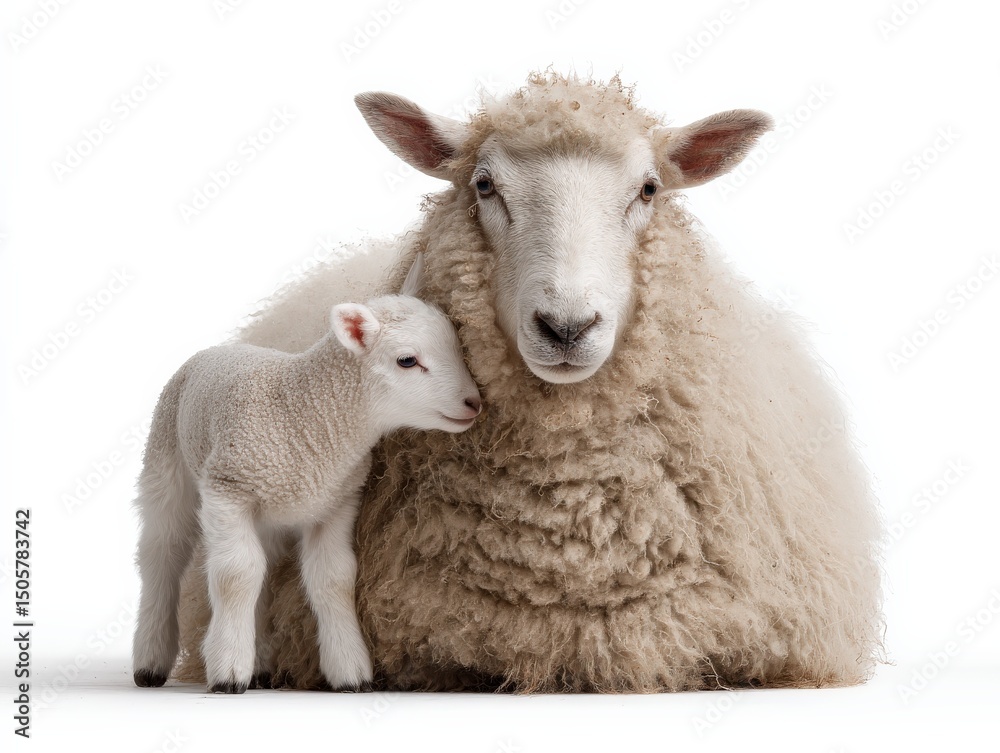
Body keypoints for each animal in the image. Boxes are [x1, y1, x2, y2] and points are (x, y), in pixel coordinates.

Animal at [131, 254, 482, 693]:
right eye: (407, 360)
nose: (474, 402)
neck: (308, 414)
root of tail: (221, 346)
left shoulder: (337, 503)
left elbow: (333, 578)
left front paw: (350, 672)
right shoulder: (228, 490)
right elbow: (235, 575)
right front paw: (228, 669)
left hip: (269, 515)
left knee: (262, 569)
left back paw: (261, 666)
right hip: (166, 463)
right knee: (162, 554)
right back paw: (150, 662)